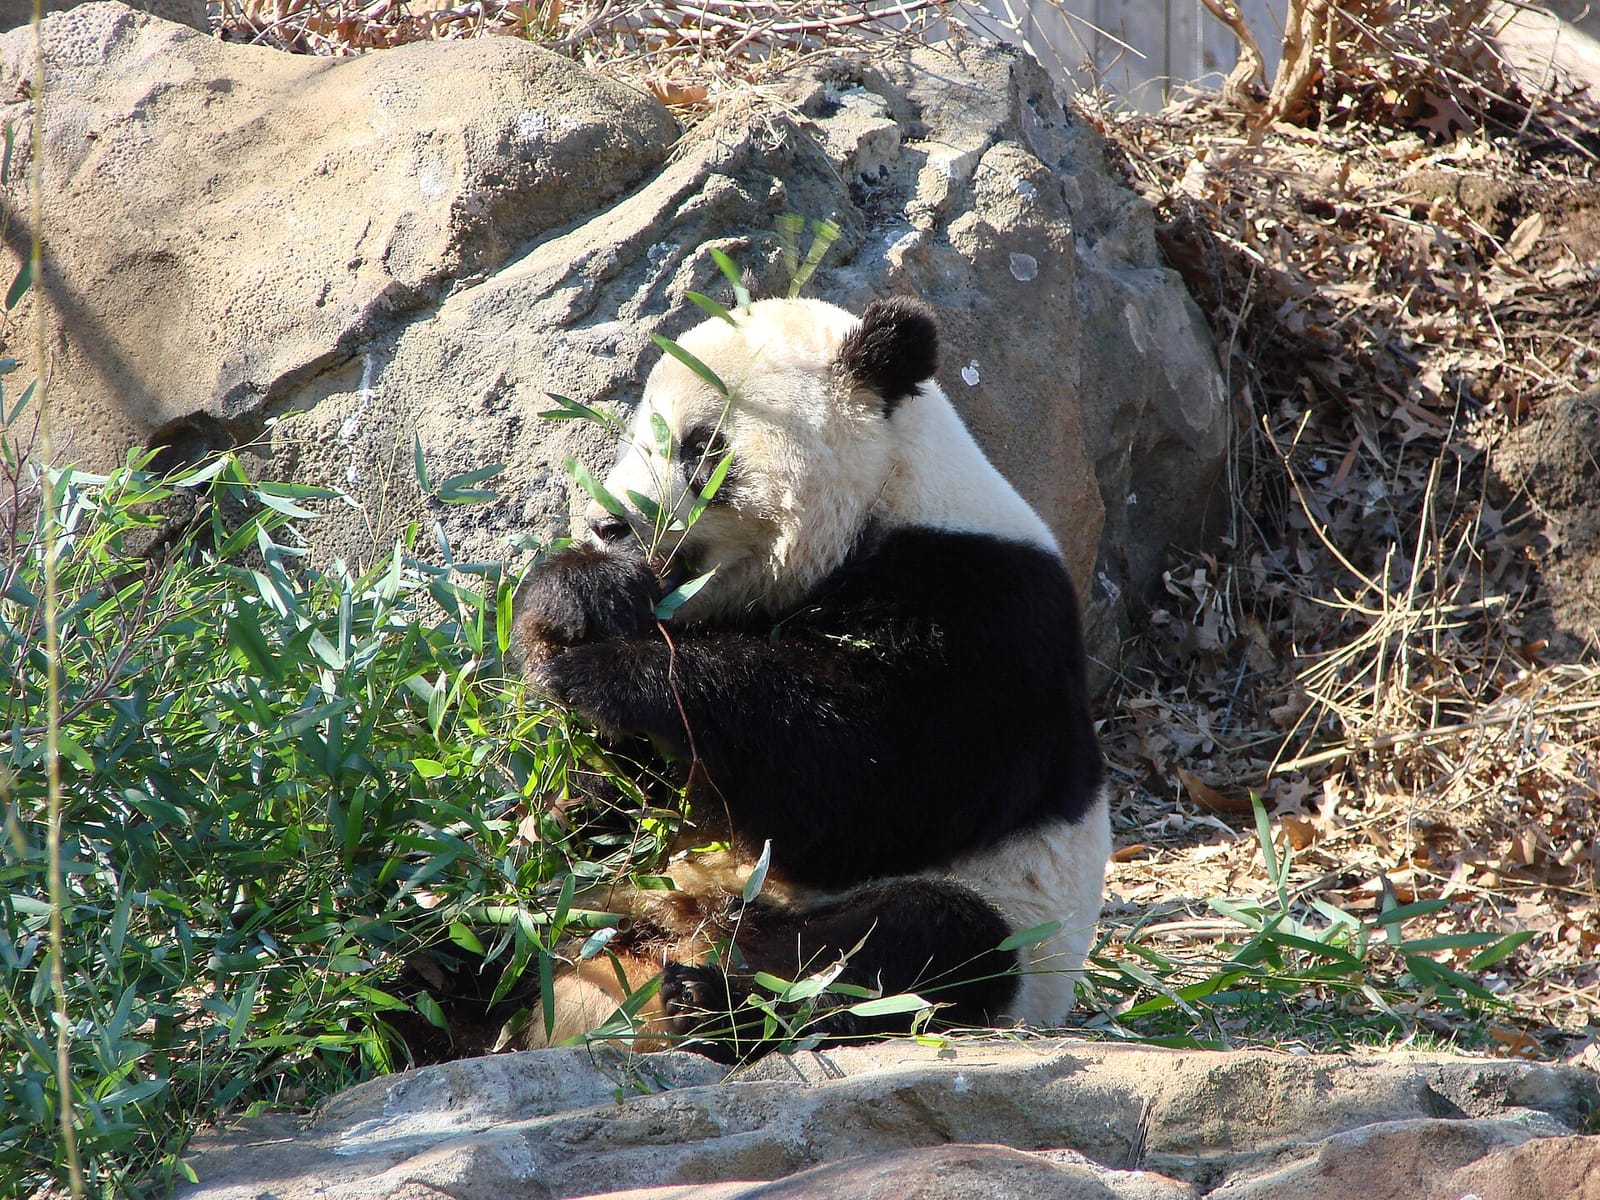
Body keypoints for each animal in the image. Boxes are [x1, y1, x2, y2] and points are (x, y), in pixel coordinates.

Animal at [512, 295, 1110, 1060]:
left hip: (1009, 921)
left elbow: (860, 781)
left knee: (917, 942)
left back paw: (712, 1002)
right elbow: (630, 788)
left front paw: (607, 672)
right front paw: (576, 600)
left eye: (700, 445)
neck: (885, 501)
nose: (606, 523)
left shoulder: (987, 617)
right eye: (639, 441)